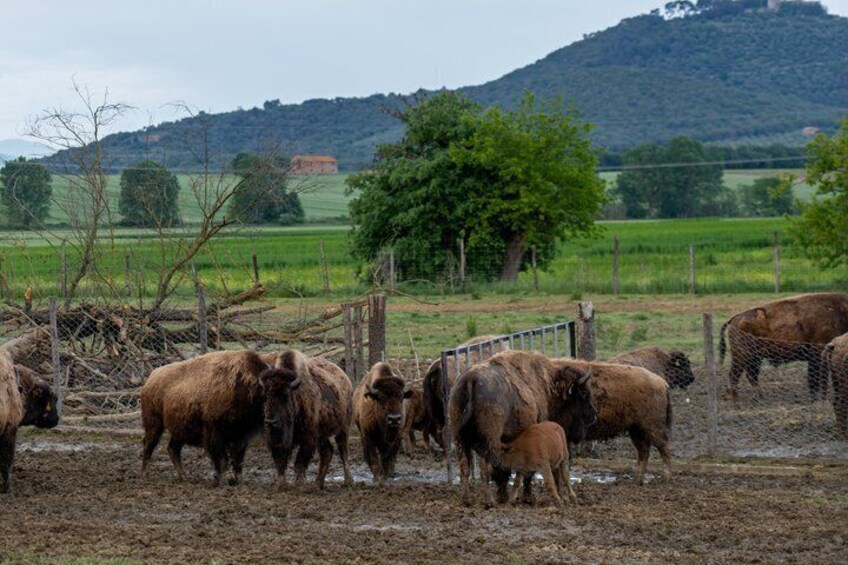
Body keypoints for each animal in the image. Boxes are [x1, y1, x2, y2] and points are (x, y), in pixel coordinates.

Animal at [258, 350, 353, 489]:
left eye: (285, 395)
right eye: (266, 396)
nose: (271, 422)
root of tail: (345, 378)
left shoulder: (308, 438)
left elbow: (300, 461)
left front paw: (299, 483)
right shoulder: (278, 440)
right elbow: (281, 461)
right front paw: (281, 484)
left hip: (343, 427)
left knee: (343, 452)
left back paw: (348, 482)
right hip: (322, 435)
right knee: (327, 452)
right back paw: (318, 483)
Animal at [449, 350, 596, 507]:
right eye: (584, 393)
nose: (593, 417)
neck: (548, 385)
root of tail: (471, 379)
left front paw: (506, 496)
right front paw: (526, 498)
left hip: (460, 439)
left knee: (464, 466)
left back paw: (466, 499)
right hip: (488, 439)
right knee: (485, 468)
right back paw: (490, 501)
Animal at [720, 293, 848, 400]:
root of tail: (735, 318)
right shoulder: (818, 355)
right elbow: (818, 378)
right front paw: (819, 399)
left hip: (755, 358)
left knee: (750, 375)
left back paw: (759, 396)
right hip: (742, 356)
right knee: (735, 374)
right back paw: (733, 397)